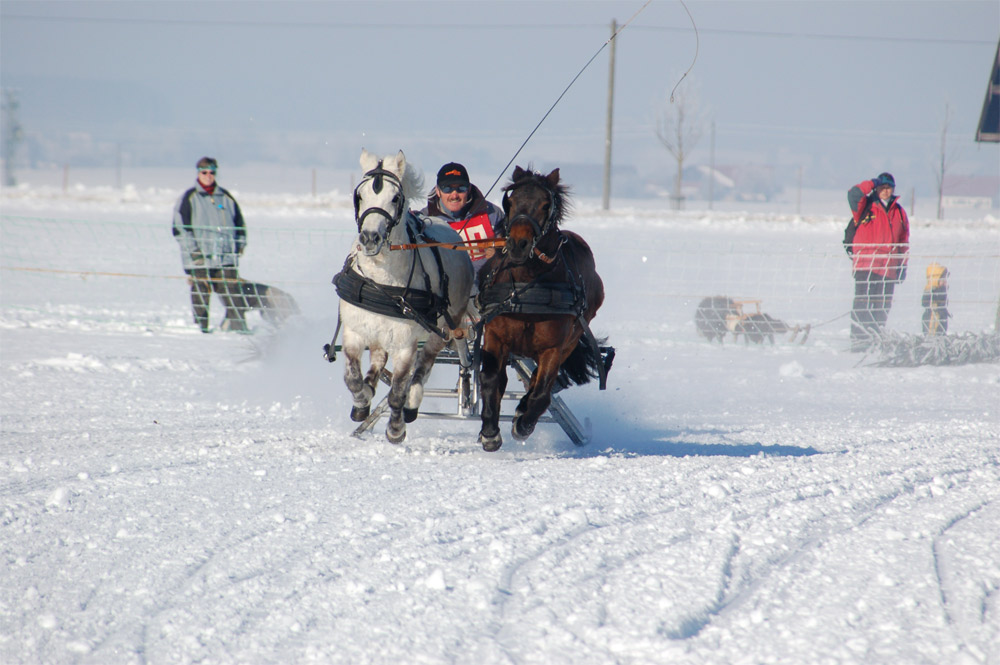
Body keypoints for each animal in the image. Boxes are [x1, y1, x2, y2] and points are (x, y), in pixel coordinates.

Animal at [334, 150, 474, 440]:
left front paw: (396, 429)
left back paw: (412, 400)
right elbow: (352, 378)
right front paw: (362, 402)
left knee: (424, 366)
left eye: (395, 198)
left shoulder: (406, 342)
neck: (381, 280)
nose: (370, 238)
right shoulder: (354, 330)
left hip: (443, 329)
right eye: (360, 194)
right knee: (378, 358)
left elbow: (398, 388)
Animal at [474, 166, 604, 452]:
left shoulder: (553, 347)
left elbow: (543, 389)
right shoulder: (495, 335)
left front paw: (522, 423)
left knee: (539, 384)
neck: (526, 287)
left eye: (545, 205)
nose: (518, 244)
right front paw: (489, 431)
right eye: (511, 201)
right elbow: (490, 379)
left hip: (572, 339)